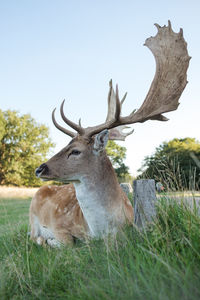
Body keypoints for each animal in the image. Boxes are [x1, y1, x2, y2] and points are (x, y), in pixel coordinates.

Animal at [28, 20, 190, 246]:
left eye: (75, 151)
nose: (39, 169)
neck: (104, 232)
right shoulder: (61, 228)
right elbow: (64, 242)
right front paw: (48, 241)